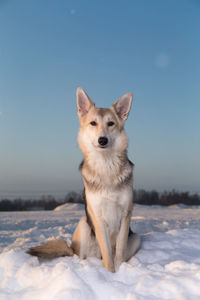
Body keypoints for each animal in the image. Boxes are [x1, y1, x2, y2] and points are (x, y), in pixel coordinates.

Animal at [27, 88, 141, 274]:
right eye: (93, 123)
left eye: (111, 123)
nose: (102, 140)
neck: (106, 165)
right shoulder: (98, 217)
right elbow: (108, 256)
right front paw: (111, 274)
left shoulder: (126, 215)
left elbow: (118, 254)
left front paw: (119, 273)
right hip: (84, 225)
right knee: (81, 255)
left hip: (137, 238)